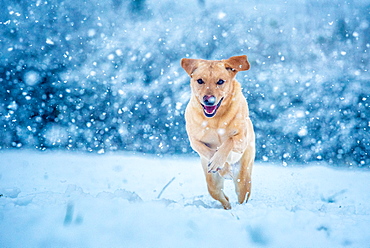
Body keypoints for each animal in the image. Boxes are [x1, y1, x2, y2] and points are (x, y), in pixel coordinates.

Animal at [181, 54, 256, 209]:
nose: (209, 100)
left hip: (243, 176)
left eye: (220, 81)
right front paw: (221, 167)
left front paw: (218, 161)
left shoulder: (242, 140)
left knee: (242, 194)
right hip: (212, 182)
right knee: (219, 195)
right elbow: (207, 150)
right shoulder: (194, 141)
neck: (215, 119)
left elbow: (229, 141)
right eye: (200, 81)